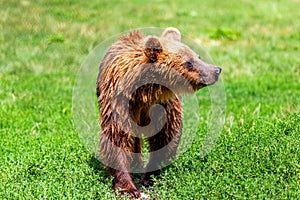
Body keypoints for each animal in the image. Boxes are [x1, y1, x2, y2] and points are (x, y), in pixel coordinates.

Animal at [97, 27, 221, 198]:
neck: (144, 93)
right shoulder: (119, 102)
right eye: (188, 62)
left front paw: (150, 178)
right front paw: (128, 188)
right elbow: (118, 138)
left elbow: (164, 135)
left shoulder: (163, 105)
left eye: (198, 56)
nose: (216, 70)